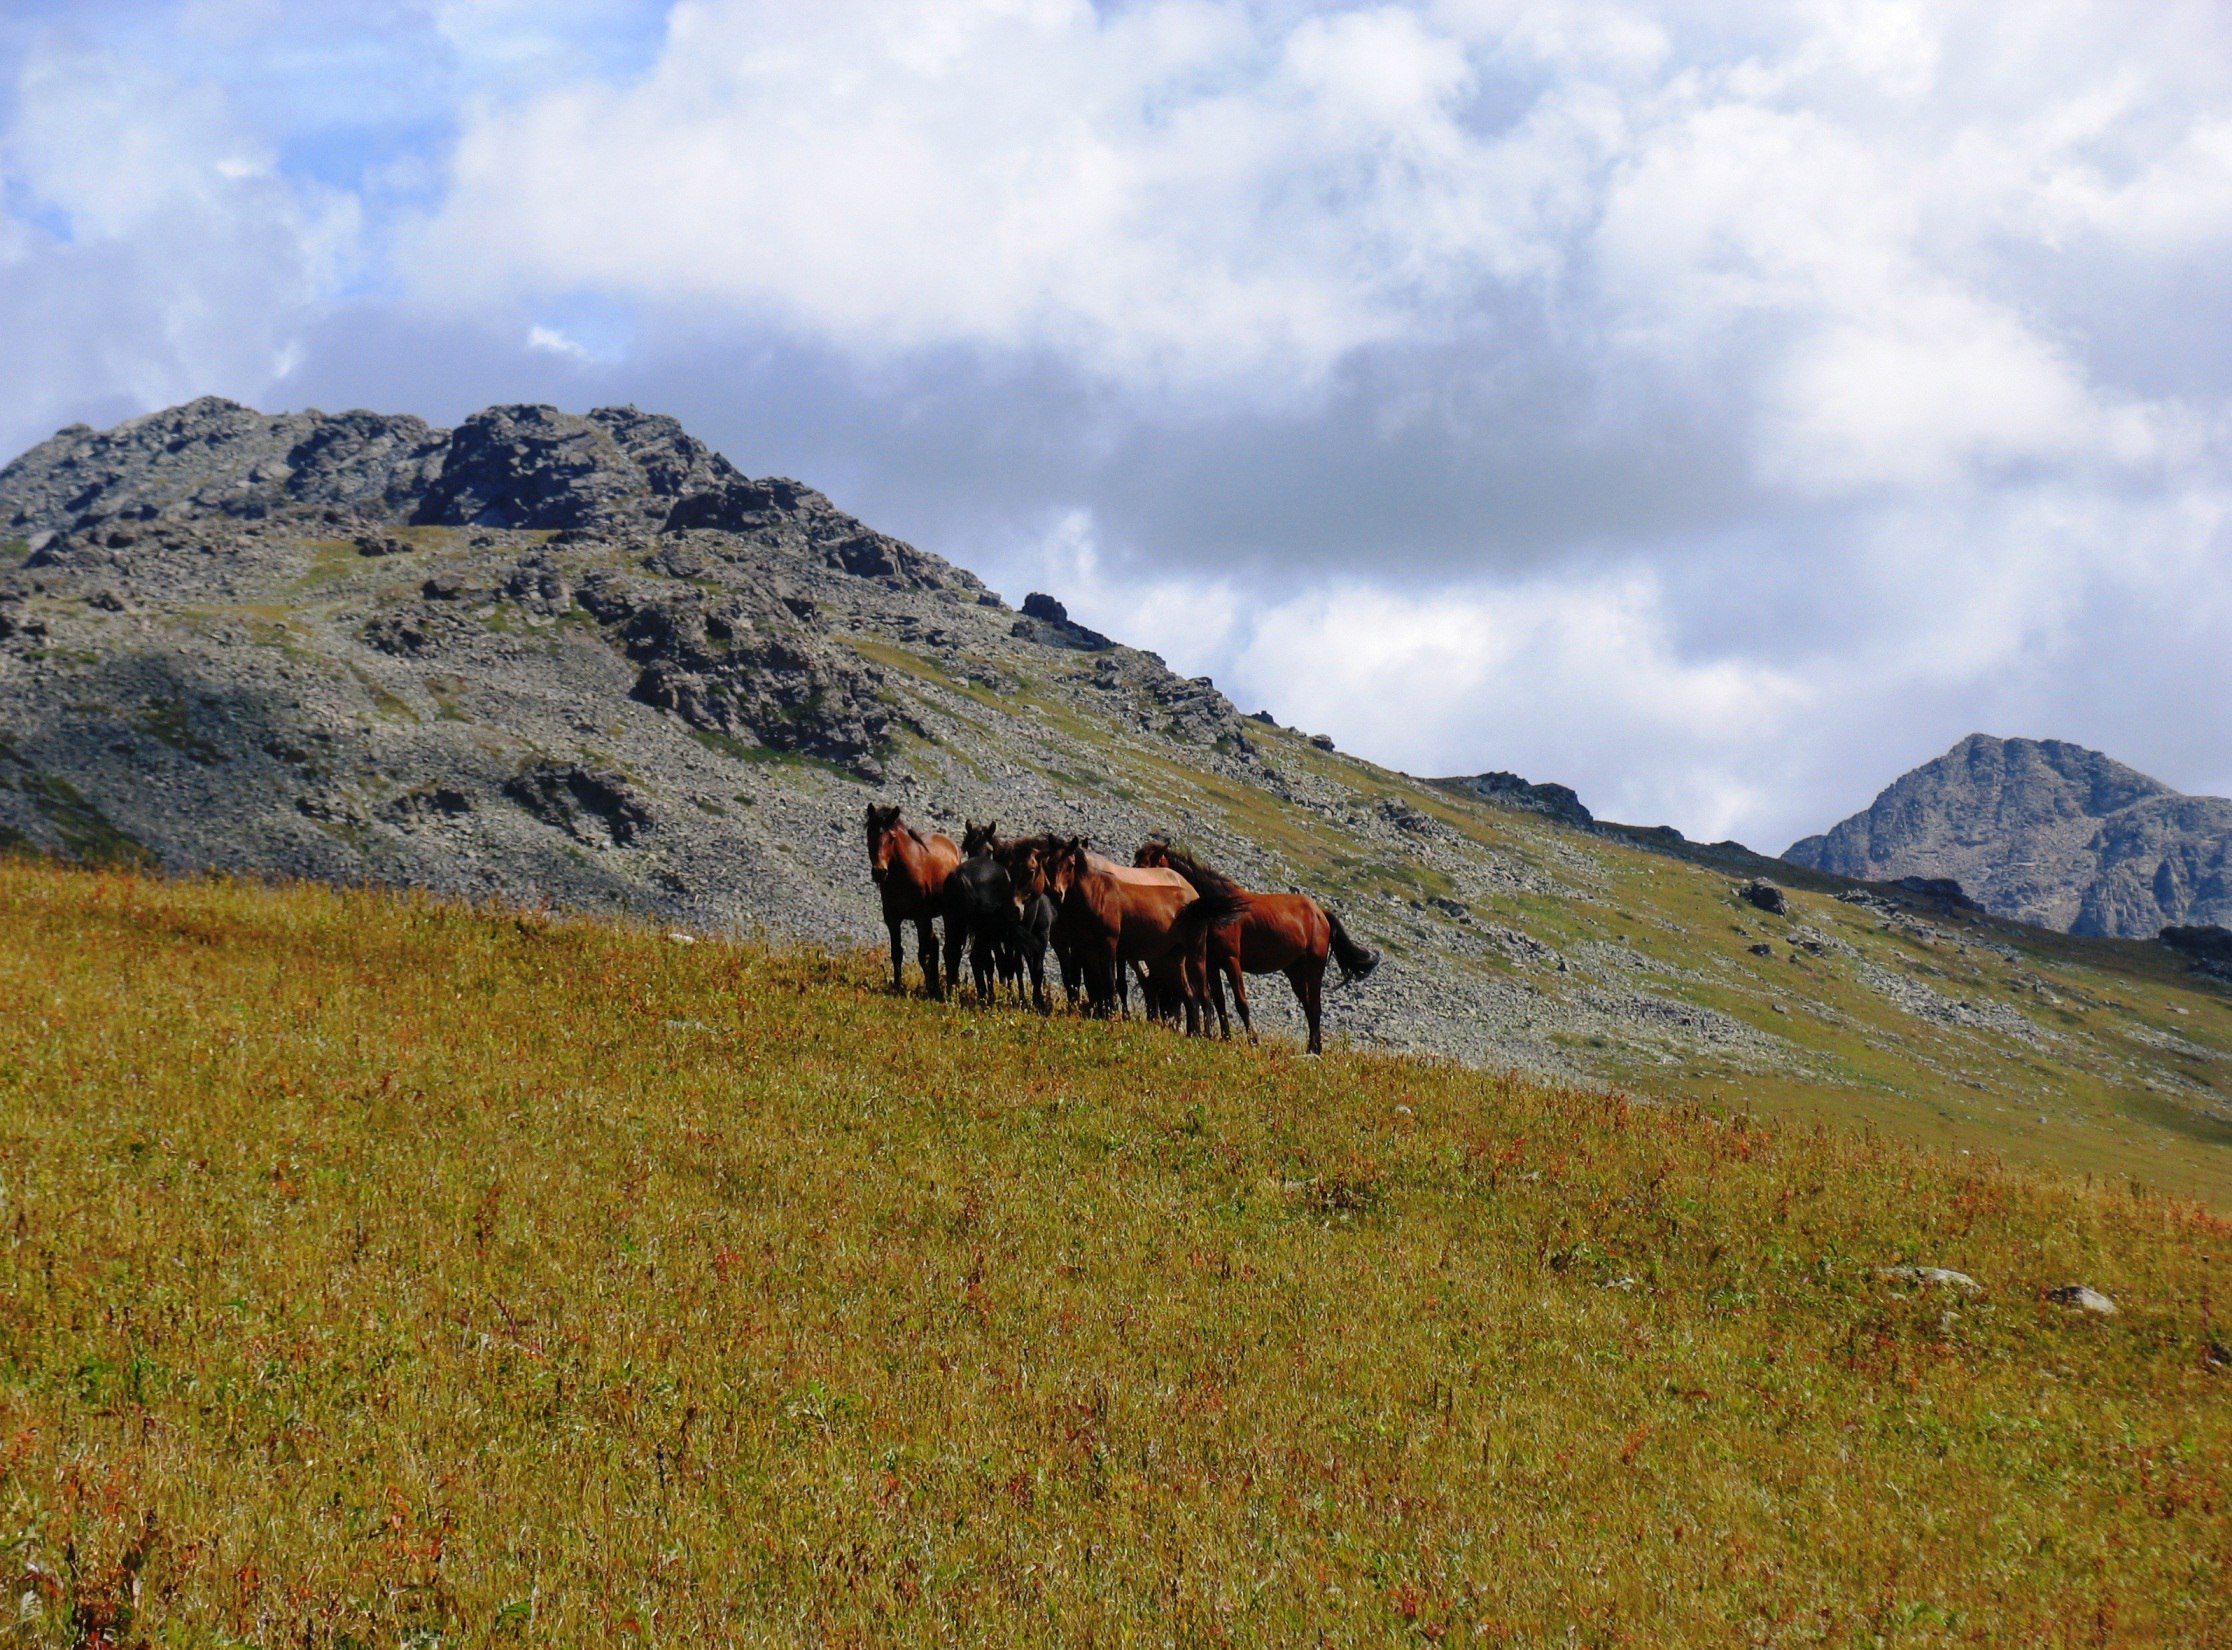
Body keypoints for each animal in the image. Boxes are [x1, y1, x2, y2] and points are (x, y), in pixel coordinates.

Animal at [861, 808, 959, 1000]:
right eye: (870, 834)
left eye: (892, 837)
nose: (879, 872)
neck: (901, 875)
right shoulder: (892, 919)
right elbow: (897, 952)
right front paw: (897, 986)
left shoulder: (920, 917)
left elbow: (922, 954)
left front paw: (931, 989)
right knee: (936, 945)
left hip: (946, 915)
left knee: (947, 948)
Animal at [1040, 839, 1240, 1031]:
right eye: (1048, 863)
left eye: (1070, 864)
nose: (1056, 893)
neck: (1098, 893)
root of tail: (1194, 900)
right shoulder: (1083, 948)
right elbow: (1092, 980)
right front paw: (1096, 1012)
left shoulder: (1109, 946)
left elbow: (1110, 982)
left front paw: (1111, 1015)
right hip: (1171, 959)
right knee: (1187, 995)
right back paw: (1192, 1032)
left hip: (1195, 955)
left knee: (1203, 996)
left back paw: (1205, 1034)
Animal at [1133, 839, 1374, 1058]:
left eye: (1146, 864)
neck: (1222, 911)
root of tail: (1320, 913)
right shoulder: (1212, 964)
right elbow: (1220, 1002)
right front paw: (1226, 1037)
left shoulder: (1231, 961)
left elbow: (1241, 1003)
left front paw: (1253, 1041)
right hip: (1295, 972)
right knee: (1308, 1006)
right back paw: (1312, 1048)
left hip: (1314, 967)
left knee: (1315, 1006)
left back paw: (1315, 1050)